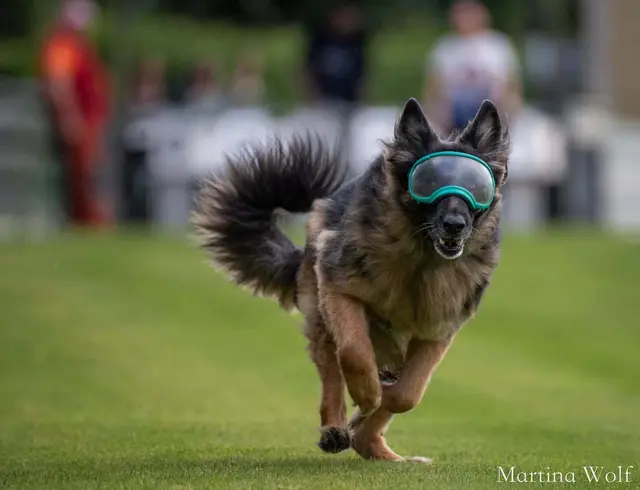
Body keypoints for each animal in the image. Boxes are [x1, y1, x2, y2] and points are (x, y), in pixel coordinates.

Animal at [191, 98, 510, 462]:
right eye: (429, 183)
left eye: (477, 187)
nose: (455, 225)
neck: (421, 259)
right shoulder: (339, 289)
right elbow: (354, 353)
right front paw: (366, 396)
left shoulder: (437, 330)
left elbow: (407, 394)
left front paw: (373, 408)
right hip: (321, 314)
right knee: (332, 370)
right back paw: (336, 429)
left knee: (384, 404)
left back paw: (380, 449)